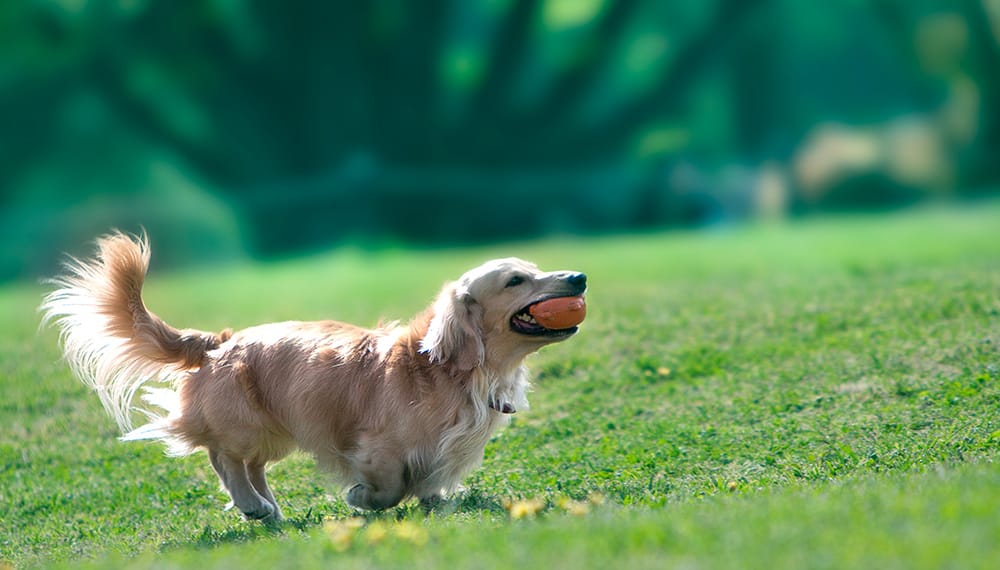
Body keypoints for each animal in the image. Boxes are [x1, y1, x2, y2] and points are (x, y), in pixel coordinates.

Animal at [41, 232, 584, 520]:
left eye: (536, 268)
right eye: (516, 280)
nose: (578, 277)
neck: (448, 370)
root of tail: (219, 343)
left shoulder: (443, 452)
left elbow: (430, 485)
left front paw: (436, 501)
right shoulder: (376, 447)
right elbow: (389, 487)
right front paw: (361, 498)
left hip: (275, 431)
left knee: (251, 465)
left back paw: (267, 506)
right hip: (245, 425)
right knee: (223, 458)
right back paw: (252, 505)